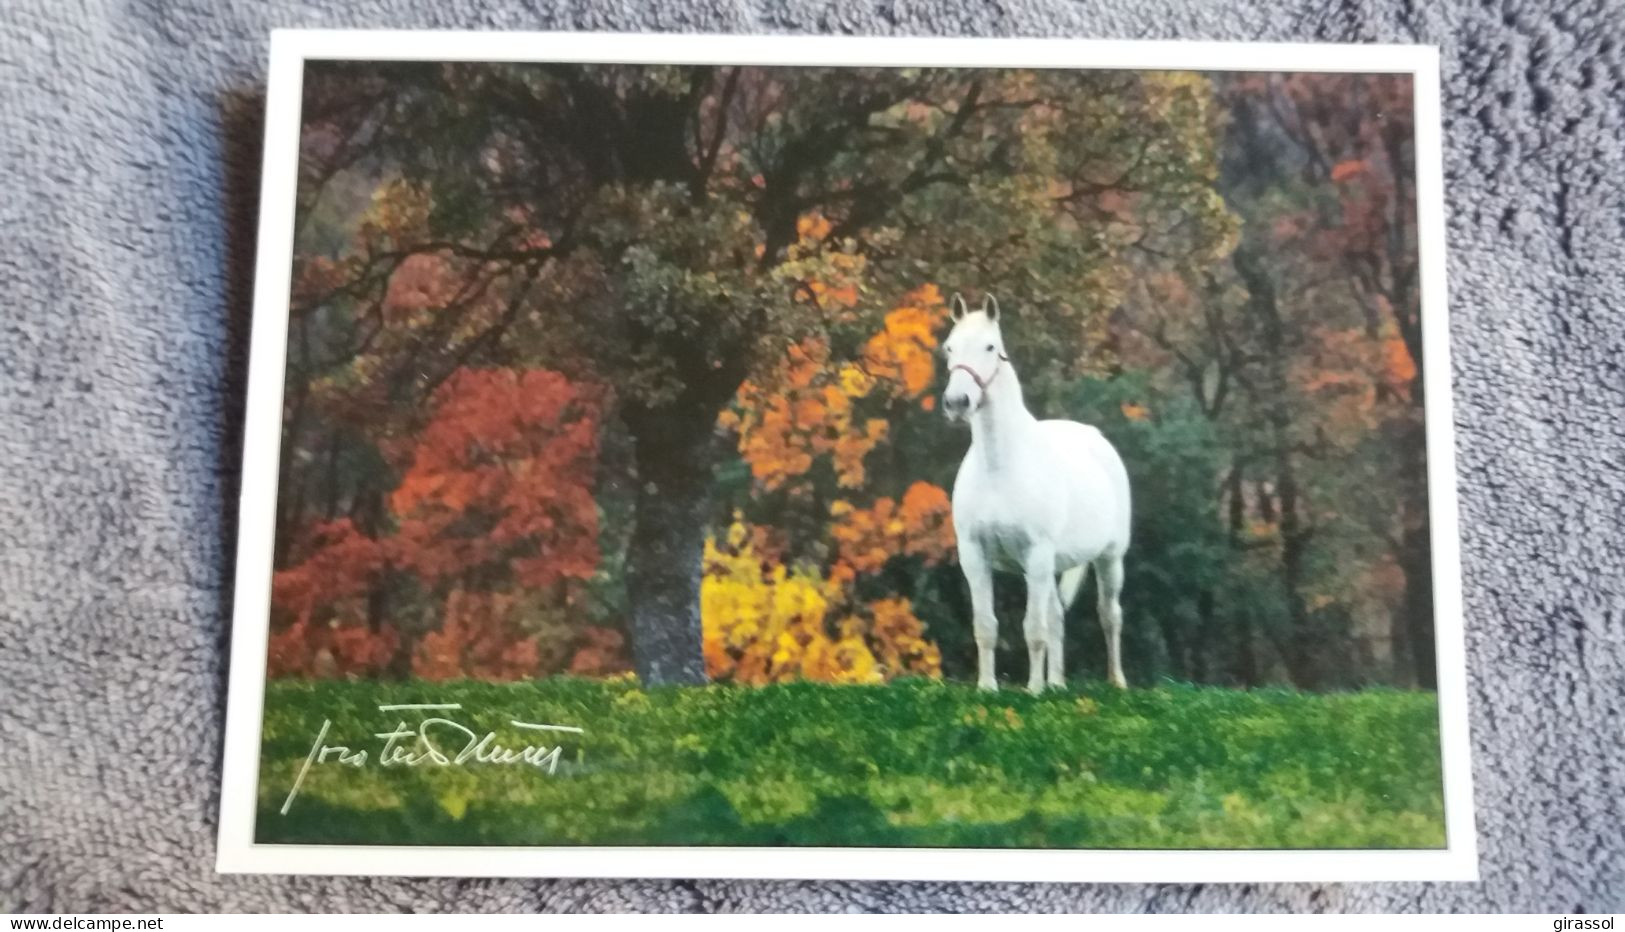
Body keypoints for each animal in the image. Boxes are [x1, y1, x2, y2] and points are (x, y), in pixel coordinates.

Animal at [942, 293, 1131, 694]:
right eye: (949, 347)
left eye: (990, 346)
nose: (957, 402)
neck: (1000, 468)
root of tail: (1096, 437)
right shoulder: (974, 555)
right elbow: (987, 626)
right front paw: (987, 687)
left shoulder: (1038, 554)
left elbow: (1034, 628)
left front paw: (1033, 691)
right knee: (1057, 616)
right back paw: (1057, 684)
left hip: (1109, 559)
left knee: (1109, 615)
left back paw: (1116, 682)